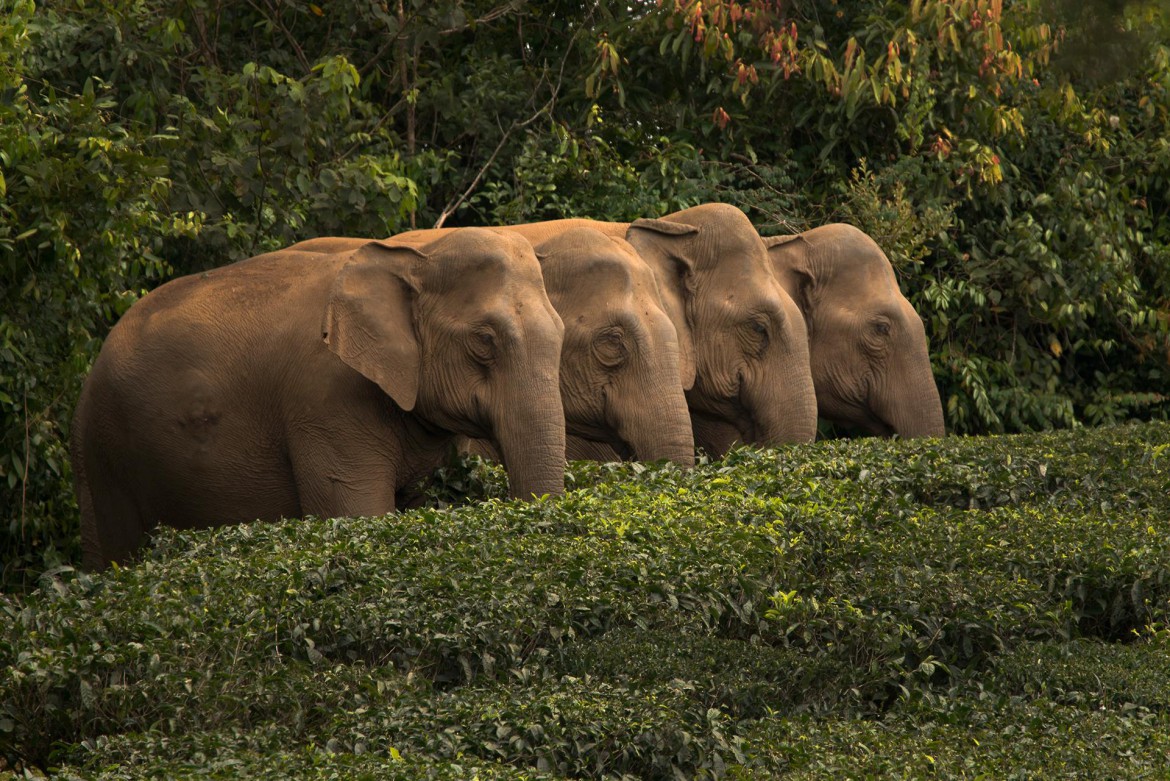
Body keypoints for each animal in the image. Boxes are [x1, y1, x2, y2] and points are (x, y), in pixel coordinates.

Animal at [71, 226, 566, 568]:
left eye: (562, 333)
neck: (413, 257)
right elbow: (358, 518)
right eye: (484, 341)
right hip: (106, 452)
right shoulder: (326, 403)